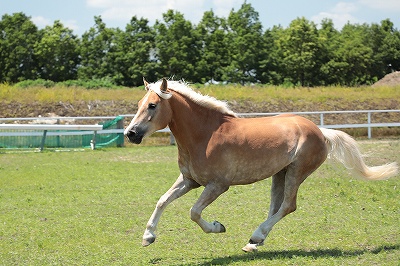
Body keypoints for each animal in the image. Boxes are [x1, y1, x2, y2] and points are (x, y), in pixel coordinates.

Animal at [123, 78, 398, 251]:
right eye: (138, 105)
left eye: (152, 105)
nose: (130, 134)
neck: (206, 135)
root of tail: (320, 131)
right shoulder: (189, 180)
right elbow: (162, 200)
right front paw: (148, 236)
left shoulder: (218, 185)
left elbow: (194, 212)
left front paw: (218, 227)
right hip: (280, 174)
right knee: (275, 206)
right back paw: (254, 242)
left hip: (297, 172)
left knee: (288, 206)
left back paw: (256, 236)